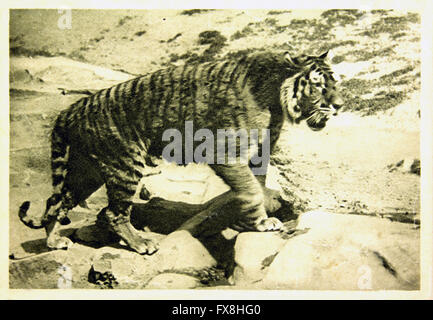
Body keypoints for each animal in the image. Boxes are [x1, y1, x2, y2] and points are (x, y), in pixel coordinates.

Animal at [16, 50, 342, 255]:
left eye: (335, 82)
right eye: (317, 85)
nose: (339, 105)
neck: (276, 97)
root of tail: (71, 109)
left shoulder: (261, 148)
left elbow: (257, 184)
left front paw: (251, 219)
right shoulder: (224, 151)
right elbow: (250, 189)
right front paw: (261, 222)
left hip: (87, 172)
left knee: (56, 201)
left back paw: (54, 242)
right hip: (123, 166)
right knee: (111, 212)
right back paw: (141, 244)